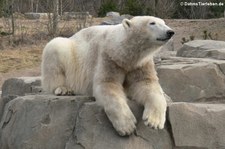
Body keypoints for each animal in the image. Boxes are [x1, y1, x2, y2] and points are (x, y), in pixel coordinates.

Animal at [41, 16, 174, 136]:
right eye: (152, 23)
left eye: (164, 22)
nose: (170, 32)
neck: (124, 54)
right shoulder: (108, 57)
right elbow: (108, 85)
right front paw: (127, 126)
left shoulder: (140, 64)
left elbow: (146, 85)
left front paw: (154, 121)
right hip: (69, 53)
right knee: (55, 50)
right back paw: (64, 89)